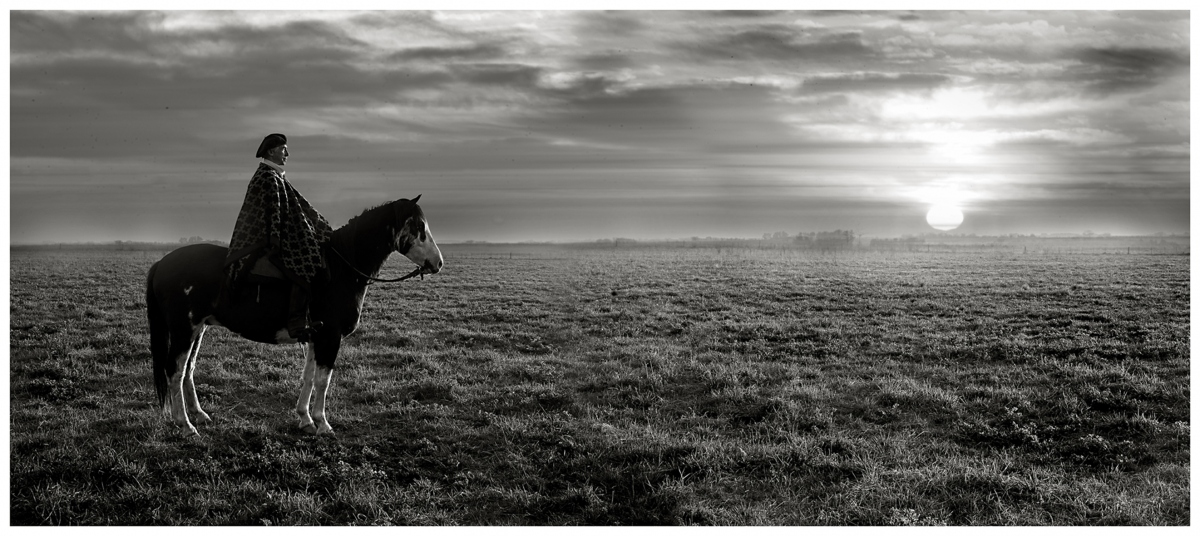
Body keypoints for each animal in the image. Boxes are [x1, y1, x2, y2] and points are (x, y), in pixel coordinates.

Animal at [144, 196, 444, 436]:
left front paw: (305, 419)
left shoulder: (315, 337)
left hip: (199, 329)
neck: (340, 269)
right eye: (419, 227)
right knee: (175, 371)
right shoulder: (330, 337)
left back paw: (199, 415)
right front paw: (323, 424)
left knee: (188, 370)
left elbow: (309, 377)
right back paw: (185, 424)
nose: (438, 263)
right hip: (183, 330)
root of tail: (162, 262)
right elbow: (323, 380)